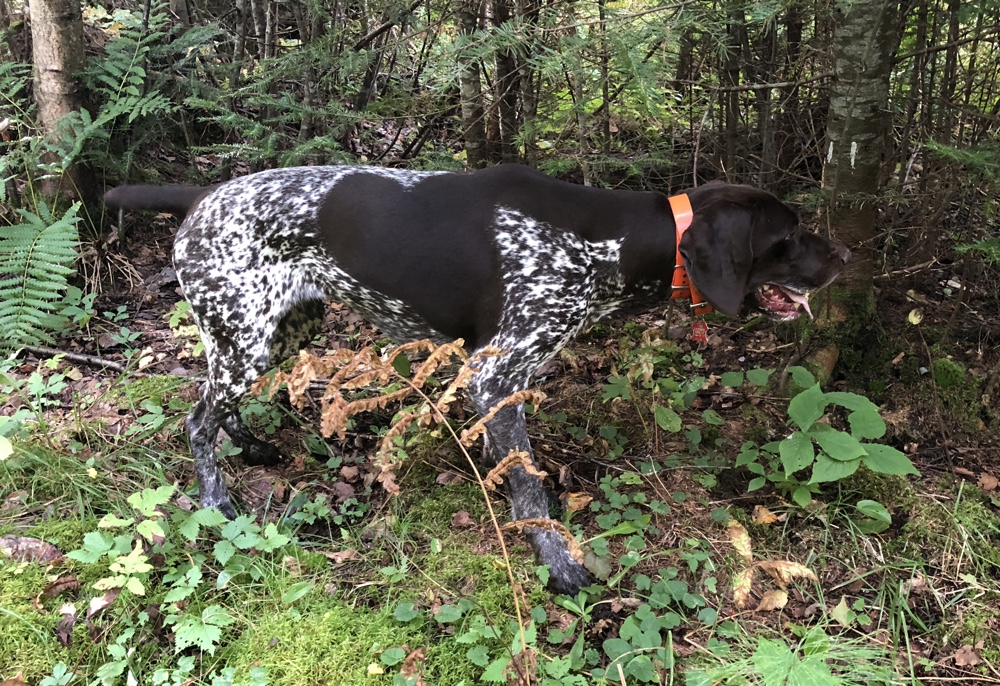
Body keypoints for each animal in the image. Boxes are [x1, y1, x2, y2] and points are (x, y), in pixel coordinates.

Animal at [103, 164, 852, 592]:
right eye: (787, 235)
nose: (846, 254)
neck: (603, 245)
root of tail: (203, 196)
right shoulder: (494, 377)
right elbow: (528, 487)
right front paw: (557, 563)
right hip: (248, 335)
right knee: (196, 419)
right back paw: (217, 500)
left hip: (281, 329)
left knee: (220, 403)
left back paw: (254, 447)